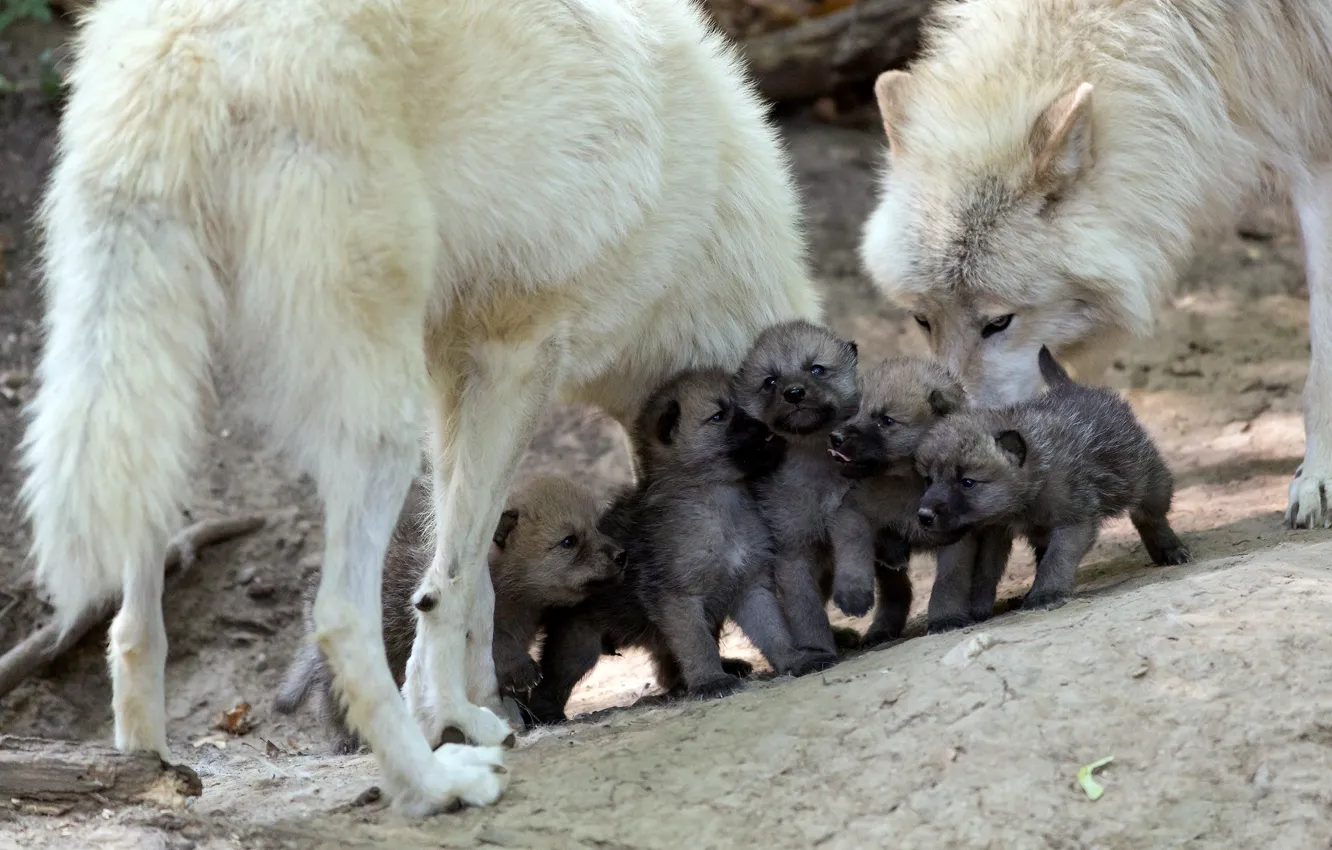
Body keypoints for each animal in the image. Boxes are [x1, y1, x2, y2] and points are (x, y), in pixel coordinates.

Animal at [23, 0, 820, 815]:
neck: (707, 219)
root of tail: (184, 45)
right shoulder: (516, 361)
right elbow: (454, 581)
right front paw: (457, 720)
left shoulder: (452, 376)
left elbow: (464, 576)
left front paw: (478, 707)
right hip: (379, 429)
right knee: (336, 618)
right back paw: (432, 785)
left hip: (165, 403)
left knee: (130, 620)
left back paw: (145, 772)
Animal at [857, 0, 1332, 530]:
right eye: (923, 321)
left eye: (999, 322)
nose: (943, 450)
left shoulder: (1315, 146)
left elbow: (1321, 365)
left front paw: (1316, 478)